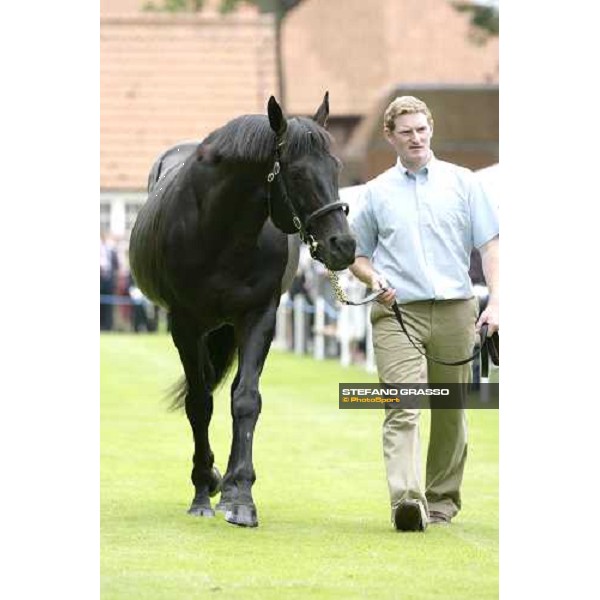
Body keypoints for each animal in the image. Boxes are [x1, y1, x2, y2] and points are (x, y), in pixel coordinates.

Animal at [130, 92, 356, 524]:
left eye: (336, 166)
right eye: (297, 174)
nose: (343, 245)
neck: (220, 232)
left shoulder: (259, 316)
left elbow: (247, 399)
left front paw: (240, 497)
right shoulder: (185, 324)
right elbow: (199, 403)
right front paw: (204, 489)